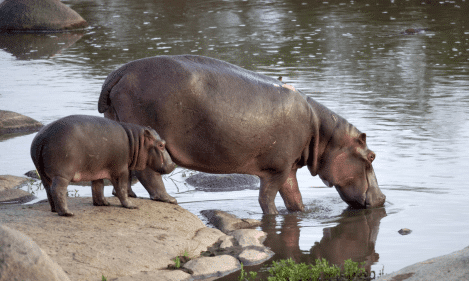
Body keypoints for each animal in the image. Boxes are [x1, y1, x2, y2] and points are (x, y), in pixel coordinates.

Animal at [30, 115, 176, 215]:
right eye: (161, 145)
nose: (173, 164)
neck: (136, 141)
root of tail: (42, 137)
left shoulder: (97, 169)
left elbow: (98, 187)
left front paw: (104, 203)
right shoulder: (121, 170)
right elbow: (122, 189)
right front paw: (131, 206)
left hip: (43, 174)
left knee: (48, 189)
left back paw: (54, 210)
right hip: (62, 175)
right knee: (58, 190)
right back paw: (67, 213)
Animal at [97, 54, 386, 213]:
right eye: (371, 156)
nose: (383, 198)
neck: (325, 136)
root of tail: (118, 73)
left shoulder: (289, 168)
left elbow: (295, 199)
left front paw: (299, 213)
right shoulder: (276, 169)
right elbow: (266, 200)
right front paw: (273, 215)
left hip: (121, 130)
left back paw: (131, 196)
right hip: (148, 138)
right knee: (149, 174)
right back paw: (169, 199)